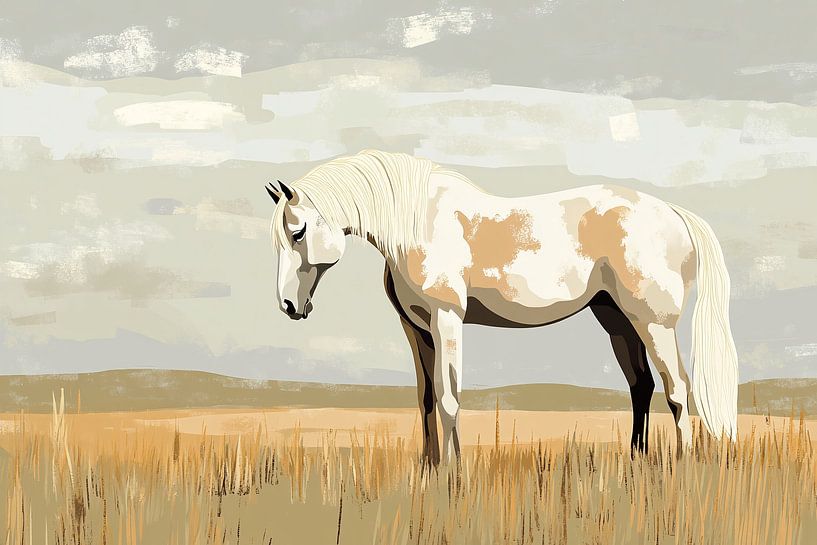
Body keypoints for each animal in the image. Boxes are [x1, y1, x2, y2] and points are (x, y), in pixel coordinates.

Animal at [265, 149, 738, 464]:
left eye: (298, 231)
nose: (289, 305)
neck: (417, 222)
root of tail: (674, 213)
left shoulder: (446, 320)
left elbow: (449, 397)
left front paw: (454, 475)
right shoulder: (415, 328)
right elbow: (425, 400)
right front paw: (428, 471)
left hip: (653, 323)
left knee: (678, 390)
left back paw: (680, 467)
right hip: (616, 319)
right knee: (641, 386)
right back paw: (636, 463)